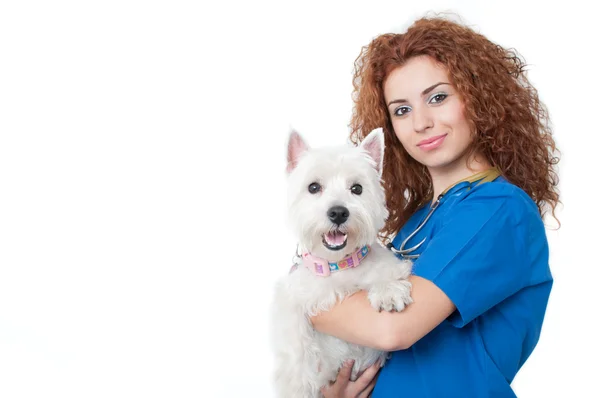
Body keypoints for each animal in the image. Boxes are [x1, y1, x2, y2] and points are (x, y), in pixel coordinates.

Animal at [270, 129, 412, 396]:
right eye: (313, 187)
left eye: (357, 188)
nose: (338, 212)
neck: (339, 265)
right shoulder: (292, 299)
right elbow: (296, 348)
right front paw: (301, 384)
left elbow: (386, 274)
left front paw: (388, 293)